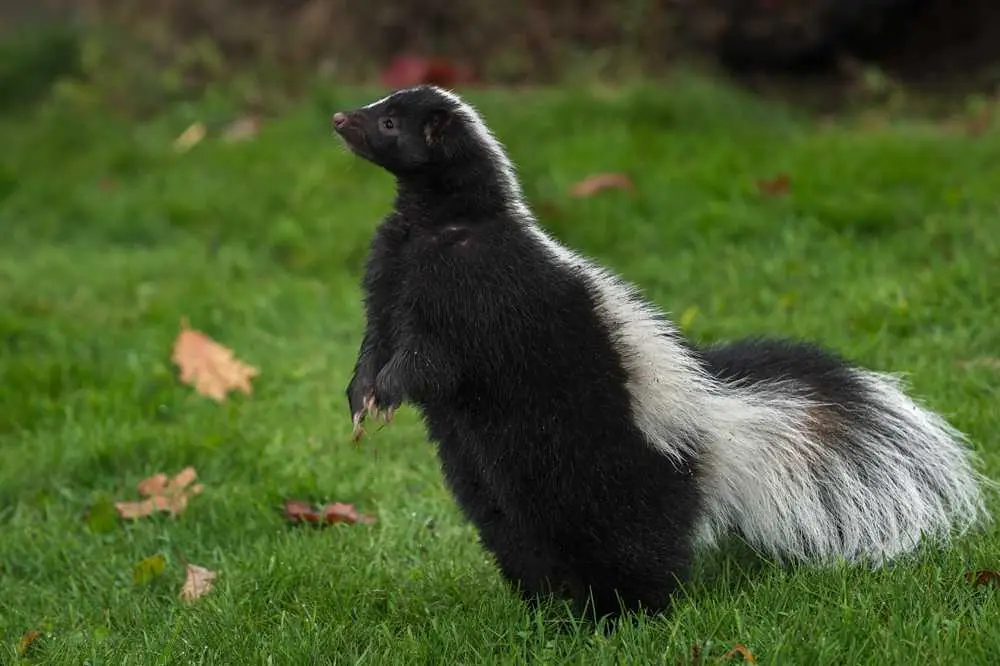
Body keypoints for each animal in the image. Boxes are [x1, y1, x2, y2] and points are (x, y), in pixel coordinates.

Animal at [330, 87, 992, 616]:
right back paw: (547, 610)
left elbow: (433, 358)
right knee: (516, 531)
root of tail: (720, 429)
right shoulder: (390, 274)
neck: (441, 222)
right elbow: (377, 339)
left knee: (629, 543)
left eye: (389, 122)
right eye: (380, 108)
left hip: (610, 466)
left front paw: (386, 394)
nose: (339, 117)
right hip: (497, 477)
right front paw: (361, 396)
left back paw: (625, 616)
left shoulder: (480, 292)